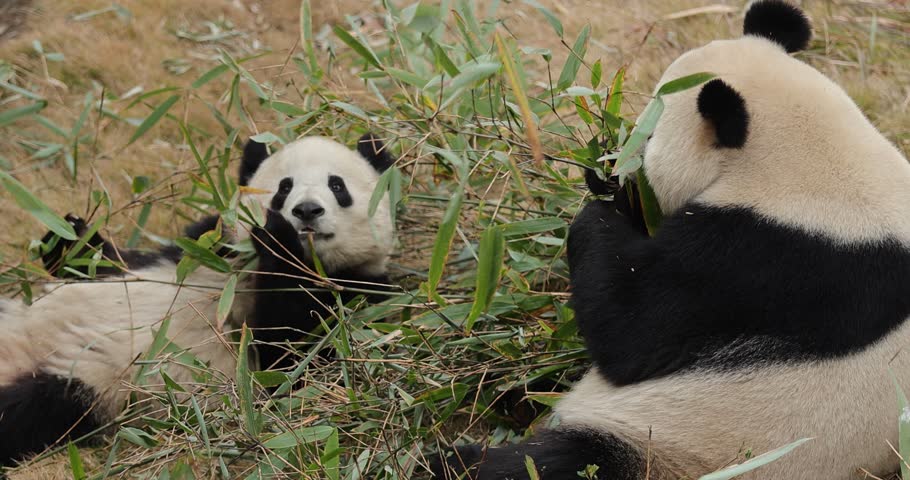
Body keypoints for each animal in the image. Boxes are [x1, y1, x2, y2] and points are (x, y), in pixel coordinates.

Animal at [0, 133, 396, 464]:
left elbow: (291, 361)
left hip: (90, 383)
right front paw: (68, 235)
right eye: (285, 187)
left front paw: (278, 239)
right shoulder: (204, 246)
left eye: (337, 185)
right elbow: (115, 261)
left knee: (26, 410)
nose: (307, 211)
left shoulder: (356, 297)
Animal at [432, 1, 910, 479]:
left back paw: (456, 457)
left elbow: (631, 332)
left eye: (647, 136)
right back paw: (511, 397)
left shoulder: (764, 258)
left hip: (671, 443)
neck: (815, 156)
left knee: (551, 462)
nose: (618, 169)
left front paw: (603, 203)